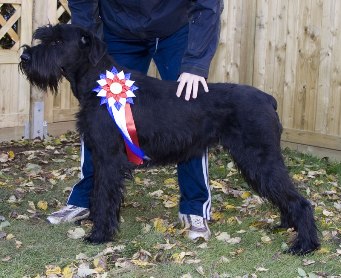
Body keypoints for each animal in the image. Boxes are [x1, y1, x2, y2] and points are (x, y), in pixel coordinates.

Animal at [19, 23, 318, 254]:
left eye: (58, 41)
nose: (25, 56)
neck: (97, 83)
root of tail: (268, 100)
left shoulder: (108, 158)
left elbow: (103, 194)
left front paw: (100, 234)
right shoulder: (99, 153)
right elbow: (95, 190)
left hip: (259, 158)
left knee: (300, 200)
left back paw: (305, 245)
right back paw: (286, 225)